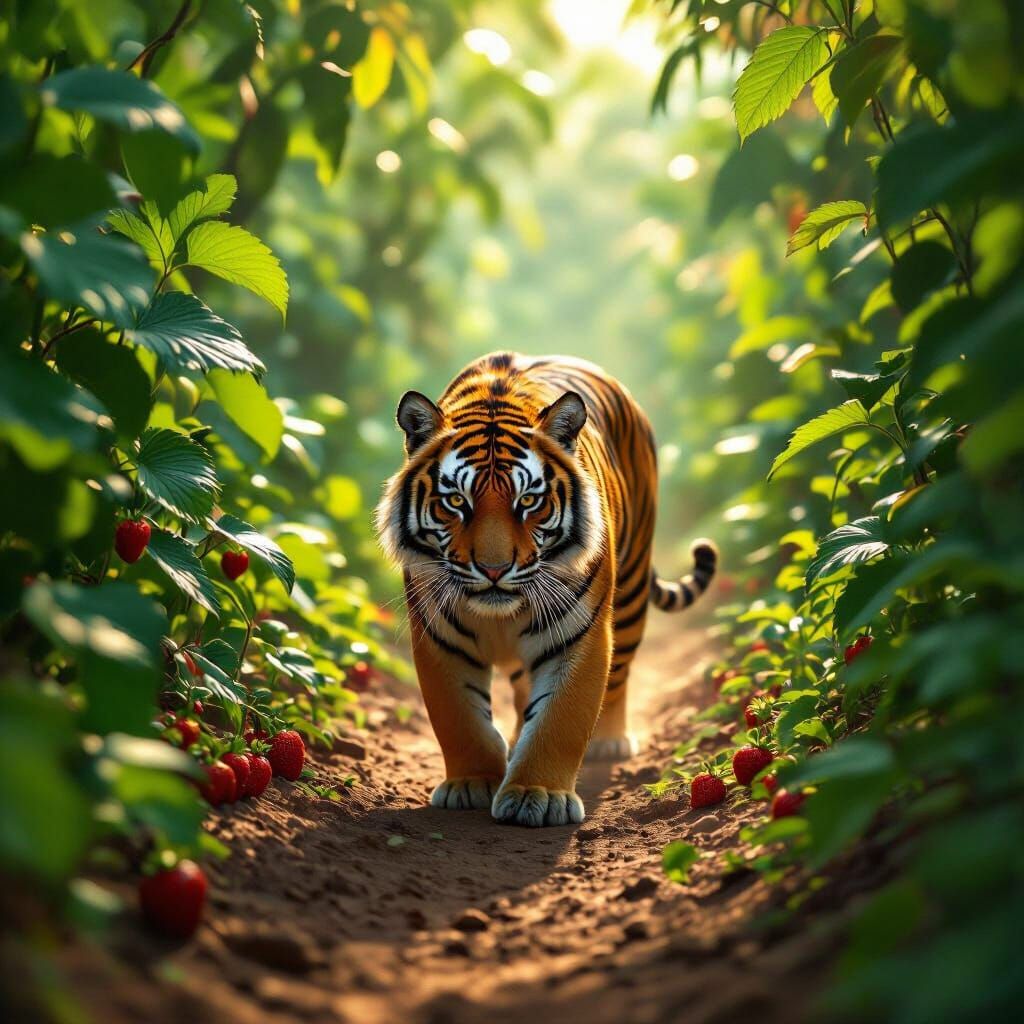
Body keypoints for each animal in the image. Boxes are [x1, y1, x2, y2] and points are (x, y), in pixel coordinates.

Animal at [375, 352, 717, 827]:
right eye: (457, 501)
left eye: (529, 501)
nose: (494, 569)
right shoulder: (439, 638)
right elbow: (459, 718)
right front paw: (471, 783)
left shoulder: (577, 633)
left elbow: (560, 718)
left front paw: (536, 794)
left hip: (630, 594)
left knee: (620, 673)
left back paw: (608, 741)